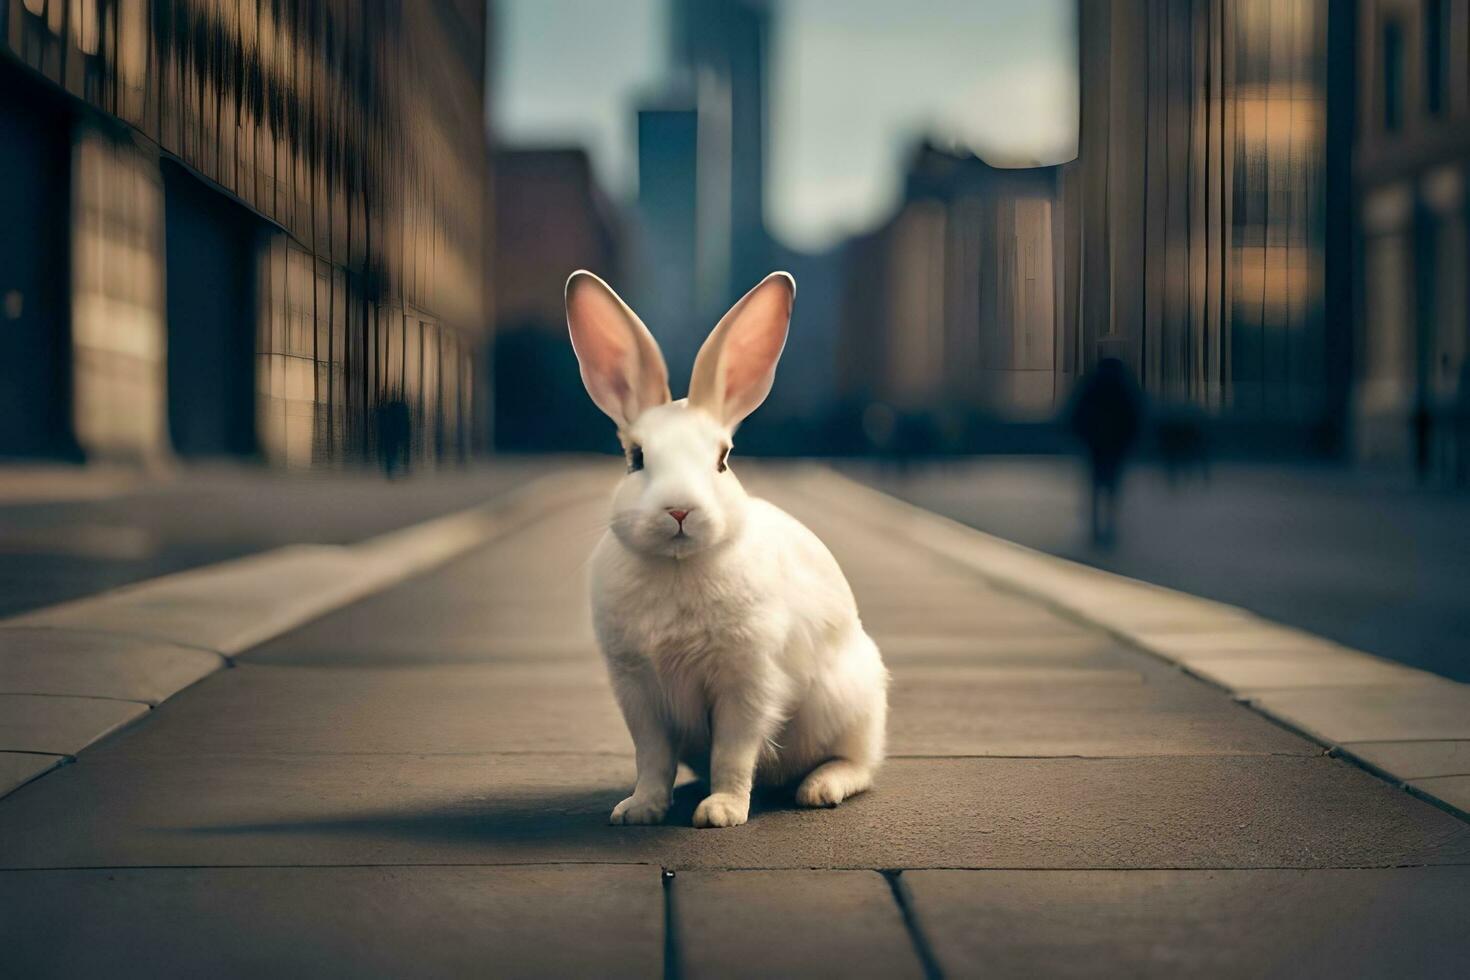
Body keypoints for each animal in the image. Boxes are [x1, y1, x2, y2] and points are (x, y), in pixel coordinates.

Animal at [561, 268, 882, 828]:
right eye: (635, 458)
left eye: (723, 459)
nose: (679, 511)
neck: (678, 565)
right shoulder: (638, 691)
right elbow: (652, 757)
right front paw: (639, 809)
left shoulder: (746, 683)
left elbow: (732, 753)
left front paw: (721, 812)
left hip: (848, 708)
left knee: (858, 763)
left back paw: (819, 788)